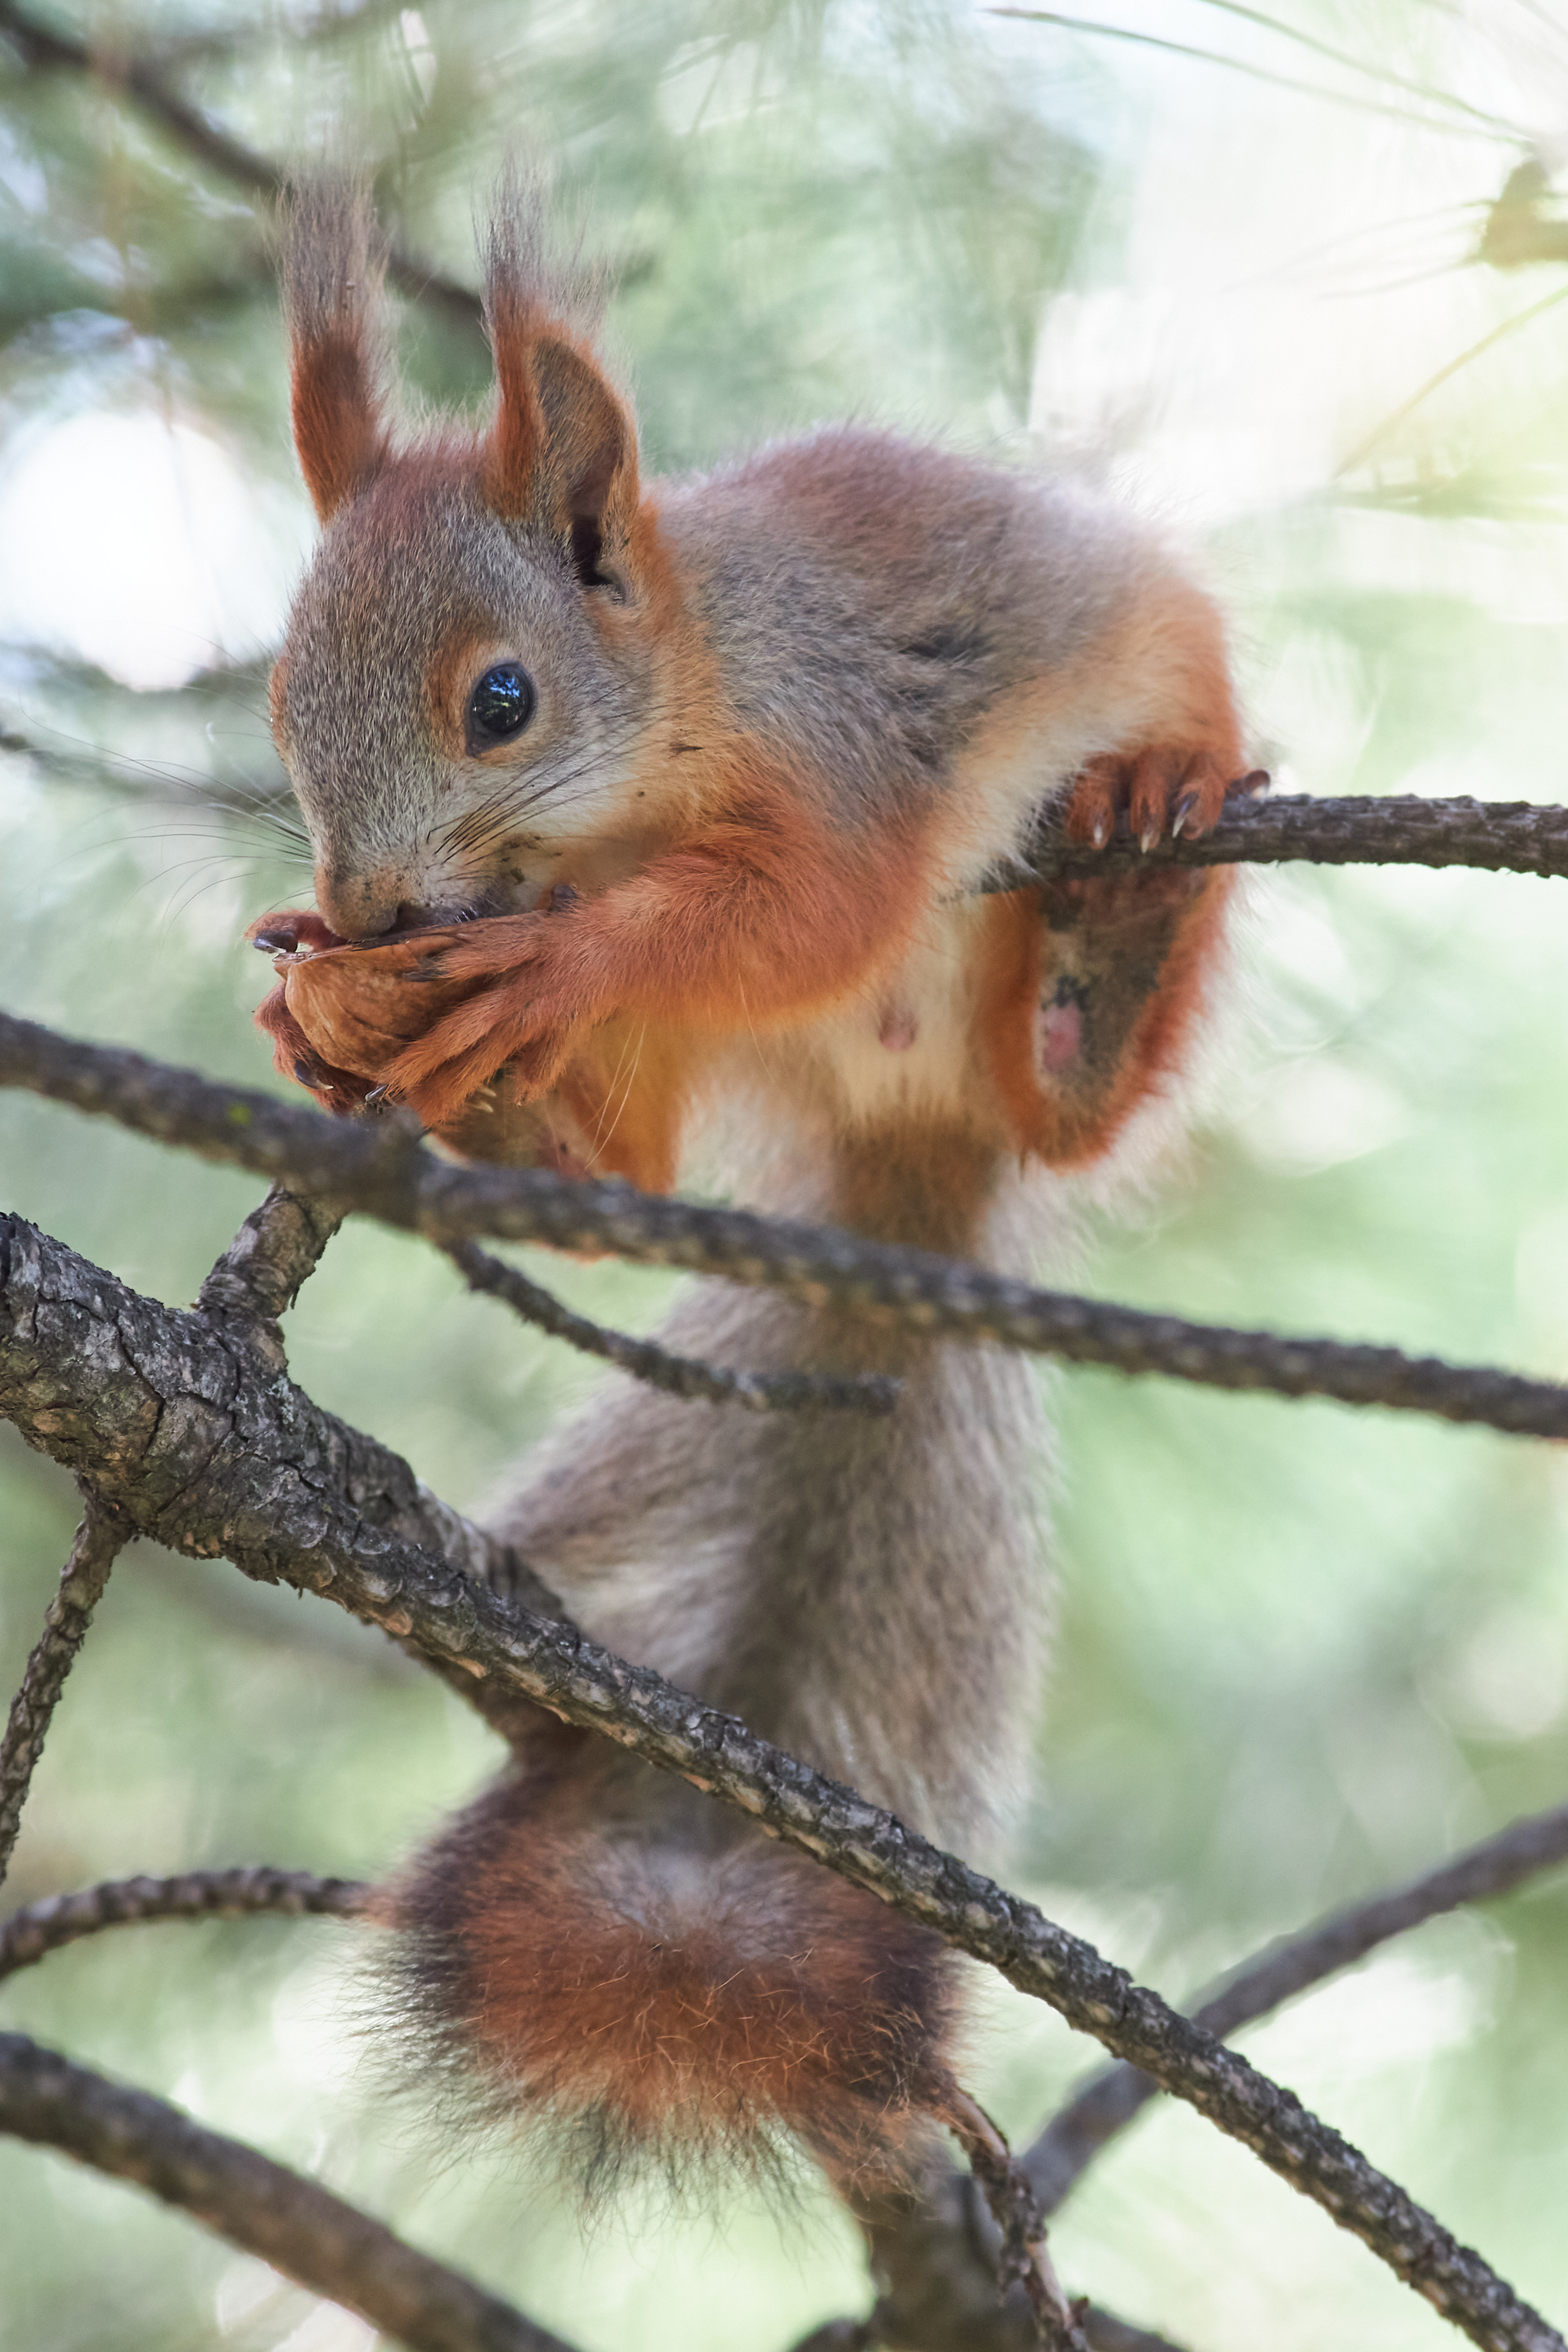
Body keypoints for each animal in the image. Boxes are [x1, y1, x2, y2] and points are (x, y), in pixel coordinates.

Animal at [249, 182, 1258, 2211]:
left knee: (1070, 1115)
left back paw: (1119, 911)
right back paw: (510, 1118)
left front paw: (552, 957)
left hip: (1126, 776)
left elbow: (810, 905)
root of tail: (906, 1148)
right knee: (613, 1181)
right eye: (272, 698)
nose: (371, 911)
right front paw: (329, 1010)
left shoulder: (844, 750)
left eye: (500, 700)